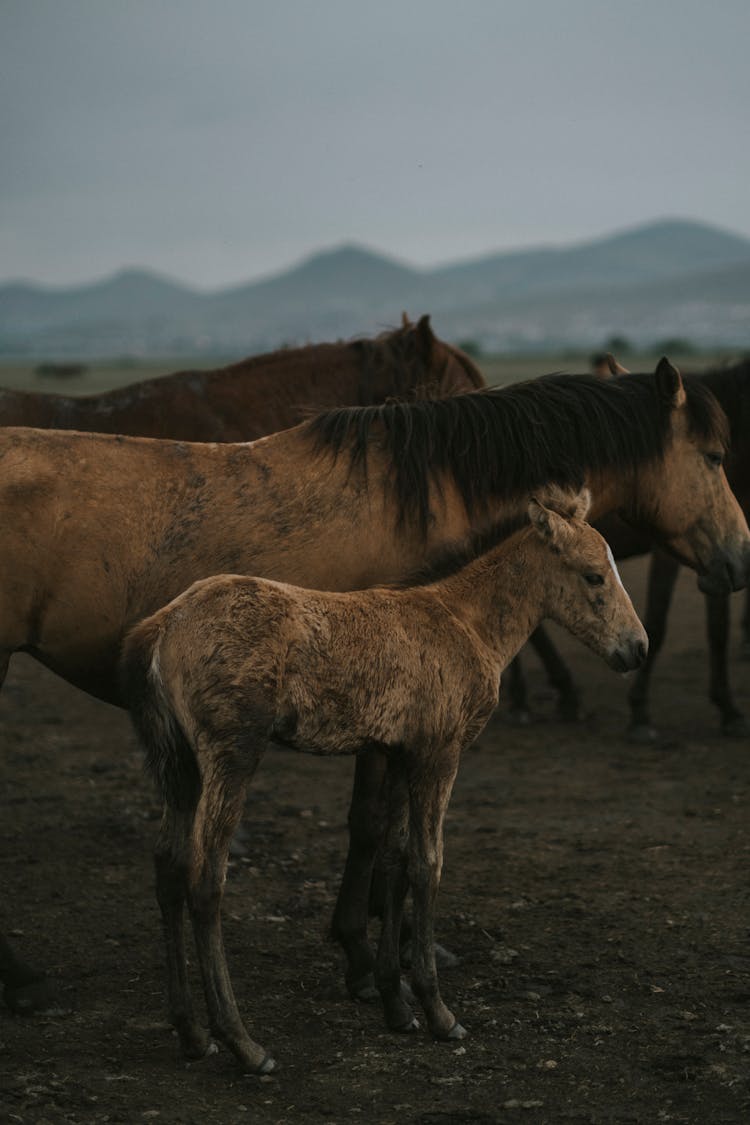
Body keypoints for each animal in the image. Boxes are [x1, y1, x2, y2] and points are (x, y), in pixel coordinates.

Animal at [1, 357, 750, 1012]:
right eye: (715, 457)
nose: (742, 558)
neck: (429, 500)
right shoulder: (390, 711)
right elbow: (376, 828)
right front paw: (370, 960)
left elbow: (385, 831)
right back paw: (25, 981)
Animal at [120, 490, 647, 1071]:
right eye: (594, 575)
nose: (638, 648)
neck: (463, 622)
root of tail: (165, 622)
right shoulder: (439, 753)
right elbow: (426, 865)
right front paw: (439, 1012)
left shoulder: (398, 754)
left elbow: (393, 862)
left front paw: (396, 1004)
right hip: (232, 755)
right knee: (205, 879)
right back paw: (243, 1042)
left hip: (179, 764)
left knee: (168, 868)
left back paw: (192, 1032)